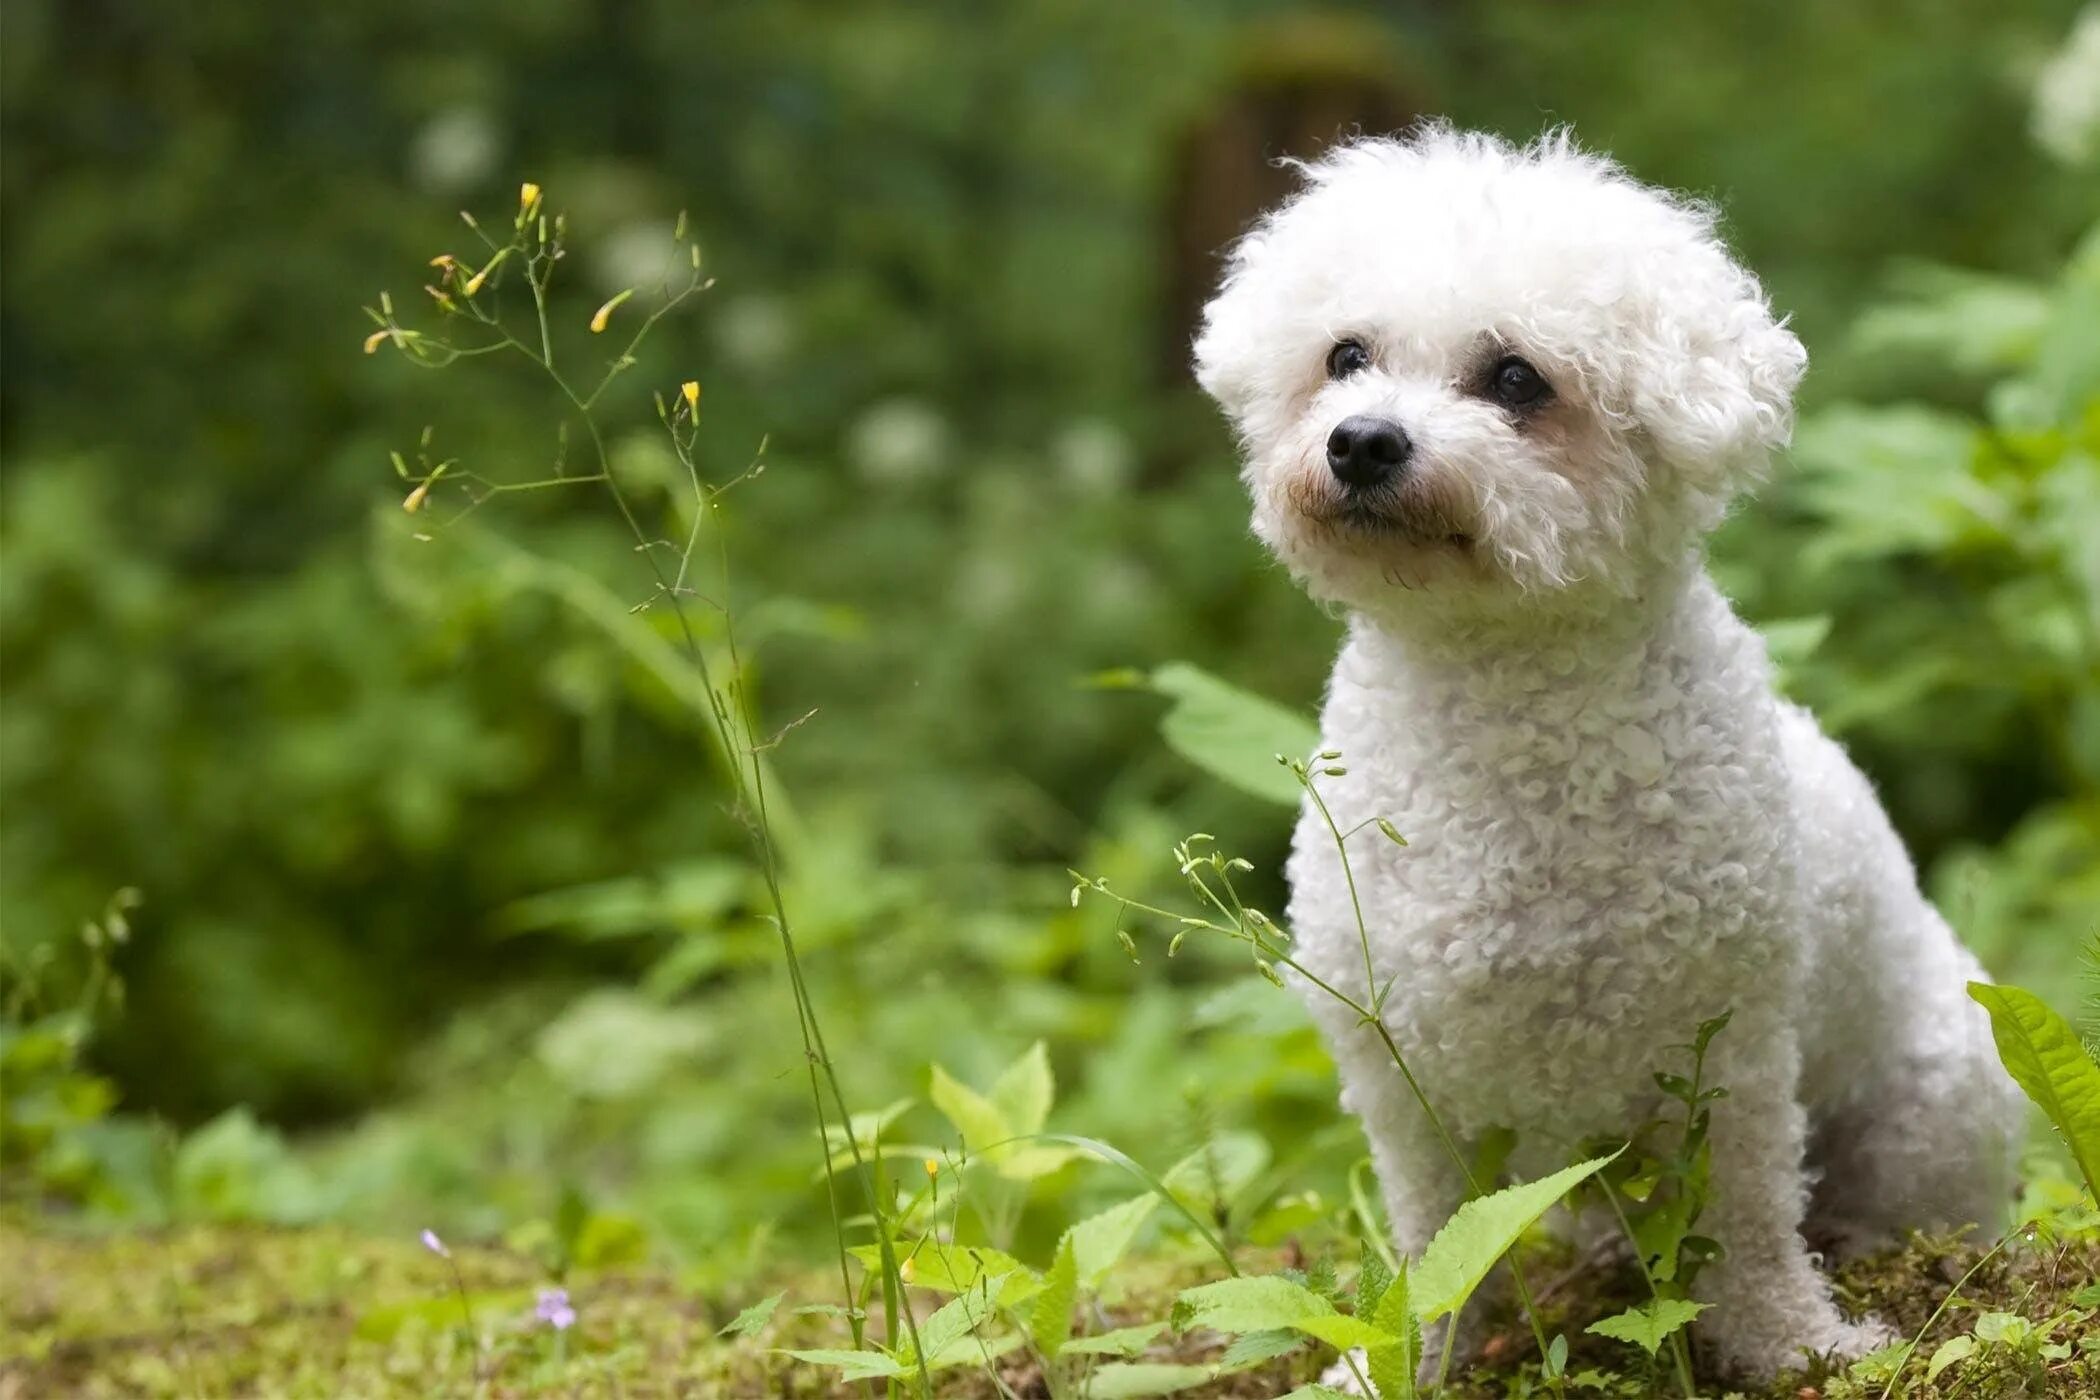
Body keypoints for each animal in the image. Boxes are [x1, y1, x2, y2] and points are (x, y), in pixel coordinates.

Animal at [1192, 128, 2024, 1376]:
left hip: (1934, 1098)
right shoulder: (1403, 1084)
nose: (1362, 440)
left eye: (1517, 379)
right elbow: (1436, 1242)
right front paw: (1401, 1362)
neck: (1503, 702)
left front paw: (1795, 1345)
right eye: (1345, 356)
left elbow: (1748, 1219)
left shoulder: (1731, 1056)